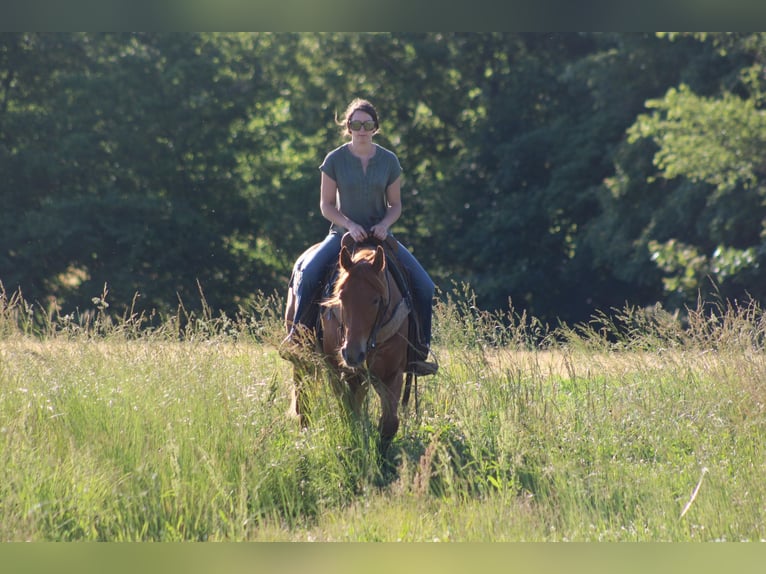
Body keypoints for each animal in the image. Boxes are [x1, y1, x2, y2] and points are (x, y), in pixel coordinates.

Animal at [283, 234, 411, 451]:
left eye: (376, 300)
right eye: (341, 296)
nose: (352, 353)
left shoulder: (392, 372)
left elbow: (389, 422)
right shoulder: (336, 370)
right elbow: (347, 412)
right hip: (302, 359)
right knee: (304, 400)